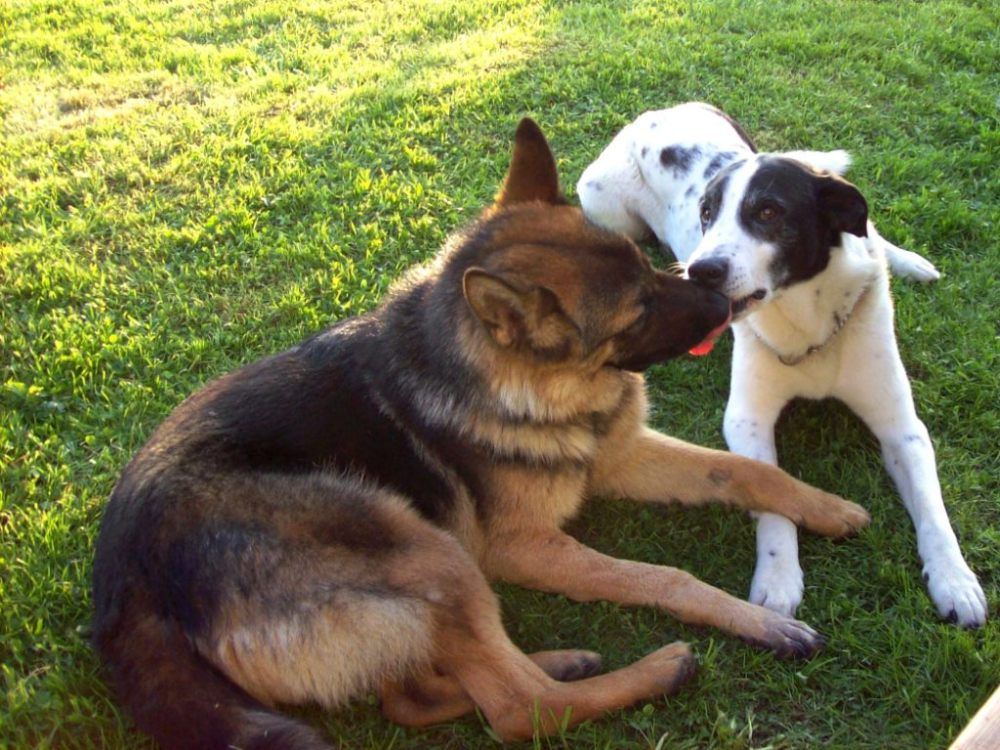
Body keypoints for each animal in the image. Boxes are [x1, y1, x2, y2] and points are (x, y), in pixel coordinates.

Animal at [95, 120, 876, 748]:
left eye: (646, 265)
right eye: (637, 311)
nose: (720, 294)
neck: (519, 384)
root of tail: (126, 588)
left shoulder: (620, 456)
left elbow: (748, 471)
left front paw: (825, 507)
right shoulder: (522, 546)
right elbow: (661, 577)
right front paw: (759, 622)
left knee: (415, 697)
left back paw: (560, 658)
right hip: (431, 553)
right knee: (518, 708)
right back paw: (653, 669)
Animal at [580, 101, 984, 628]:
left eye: (768, 212)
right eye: (706, 214)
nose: (700, 272)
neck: (808, 323)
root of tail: (664, 110)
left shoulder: (902, 427)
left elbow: (935, 511)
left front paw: (955, 580)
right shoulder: (746, 420)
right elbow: (769, 491)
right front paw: (777, 579)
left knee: (873, 233)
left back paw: (908, 262)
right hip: (603, 205)